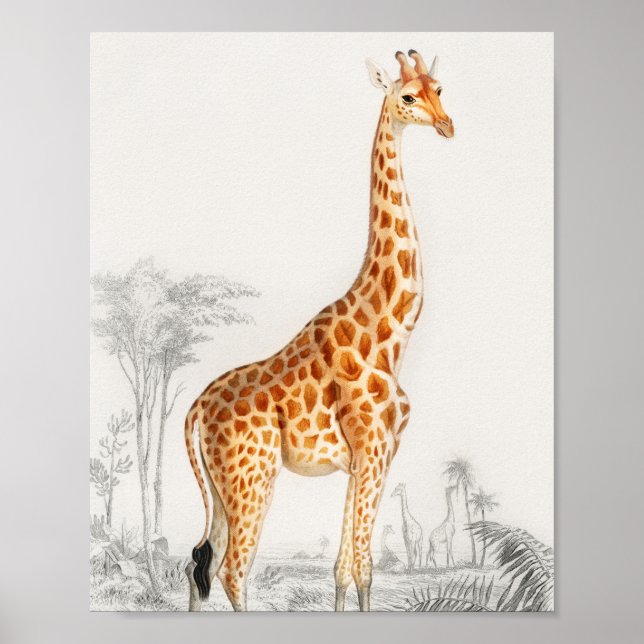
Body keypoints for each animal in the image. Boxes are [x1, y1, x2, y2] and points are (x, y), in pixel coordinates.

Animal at [184, 49, 454, 612]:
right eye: (407, 96)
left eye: (440, 88)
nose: (447, 125)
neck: (391, 335)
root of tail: (195, 409)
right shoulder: (372, 451)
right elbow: (366, 568)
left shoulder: (369, 459)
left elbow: (344, 570)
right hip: (252, 479)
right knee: (232, 570)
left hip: (221, 487)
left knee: (198, 563)